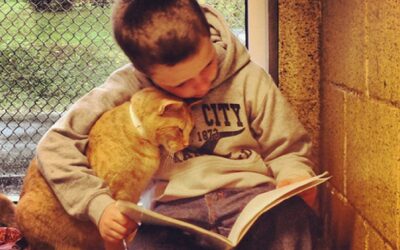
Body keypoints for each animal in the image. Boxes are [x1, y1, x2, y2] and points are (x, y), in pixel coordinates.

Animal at [16, 87, 195, 249]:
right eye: (179, 130)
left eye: (190, 131)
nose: (187, 144)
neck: (139, 133)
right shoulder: (118, 198)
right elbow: (115, 237)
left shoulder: (132, 197)